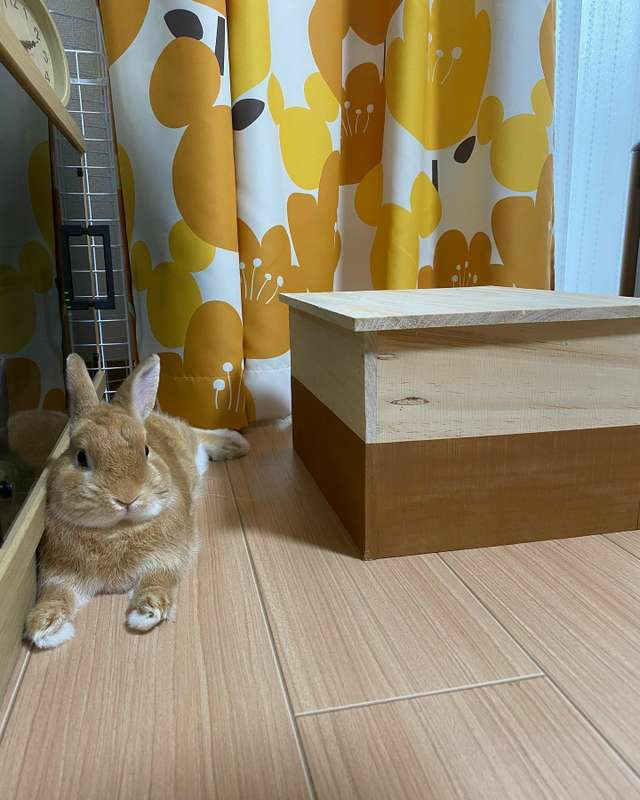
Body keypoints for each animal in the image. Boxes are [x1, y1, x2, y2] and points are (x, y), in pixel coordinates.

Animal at [24, 353, 249, 649]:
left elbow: (158, 580)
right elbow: (54, 594)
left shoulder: (169, 557)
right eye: (81, 457)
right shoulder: (59, 574)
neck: (117, 530)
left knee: (196, 433)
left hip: (190, 447)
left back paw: (235, 444)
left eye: (145, 450)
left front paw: (147, 611)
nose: (127, 497)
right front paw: (45, 627)